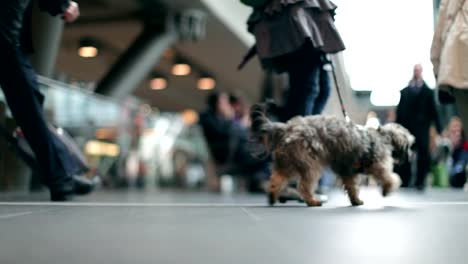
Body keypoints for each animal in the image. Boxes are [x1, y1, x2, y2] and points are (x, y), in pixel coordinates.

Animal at [250, 101, 414, 206]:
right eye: (410, 146)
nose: (411, 156)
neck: (382, 137)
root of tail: (286, 128)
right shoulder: (378, 166)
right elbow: (390, 178)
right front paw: (387, 189)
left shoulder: (348, 171)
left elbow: (352, 187)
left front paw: (355, 200)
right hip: (309, 165)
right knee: (303, 186)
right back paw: (312, 201)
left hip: (288, 163)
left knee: (276, 179)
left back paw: (272, 195)